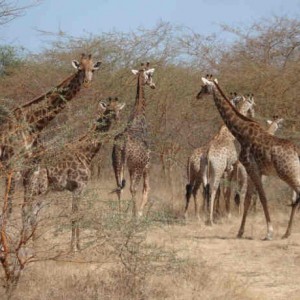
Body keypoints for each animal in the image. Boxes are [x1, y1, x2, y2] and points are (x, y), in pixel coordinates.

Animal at [0, 54, 102, 213]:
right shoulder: (13, 167)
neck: (33, 124)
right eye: (79, 69)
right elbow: (8, 209)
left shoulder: (30, 169)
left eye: (93, 70)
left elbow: (25, 208)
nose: (86, 83)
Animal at [22, 98, 125, 251]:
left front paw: (77, 245)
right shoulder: (79, 187)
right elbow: (75, 215)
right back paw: (26, 247)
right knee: (28, 212)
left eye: (119, 109)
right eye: (109, 109)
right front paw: (74, 248)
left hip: (36, 190)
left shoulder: (77, 189)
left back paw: (31, 246)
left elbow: (77, 214)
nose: (117, 118)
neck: (87, 152)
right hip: (37, 189)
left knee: (30, 213)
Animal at [111, 62, 156, 217]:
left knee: (119, 187)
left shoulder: (131, 166)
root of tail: (123, 145)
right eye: (150, 75)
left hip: (117, 163)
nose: (154, 85)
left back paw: (120, 214)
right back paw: (135, 214)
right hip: (137, 167)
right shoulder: (146, 164)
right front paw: (140, 213)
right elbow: (147, 188)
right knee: (133, 188)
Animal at [197, 76, 300, 240]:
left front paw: (269, 232)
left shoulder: (252, 169)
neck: (241, 133)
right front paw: (240, 232)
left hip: (287, 174)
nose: (198, 95)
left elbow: (262, 198)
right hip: (292, 173)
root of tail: (297, 151)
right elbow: (247, 199)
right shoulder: (252, 171)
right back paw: (286, 233)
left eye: (204, 87)